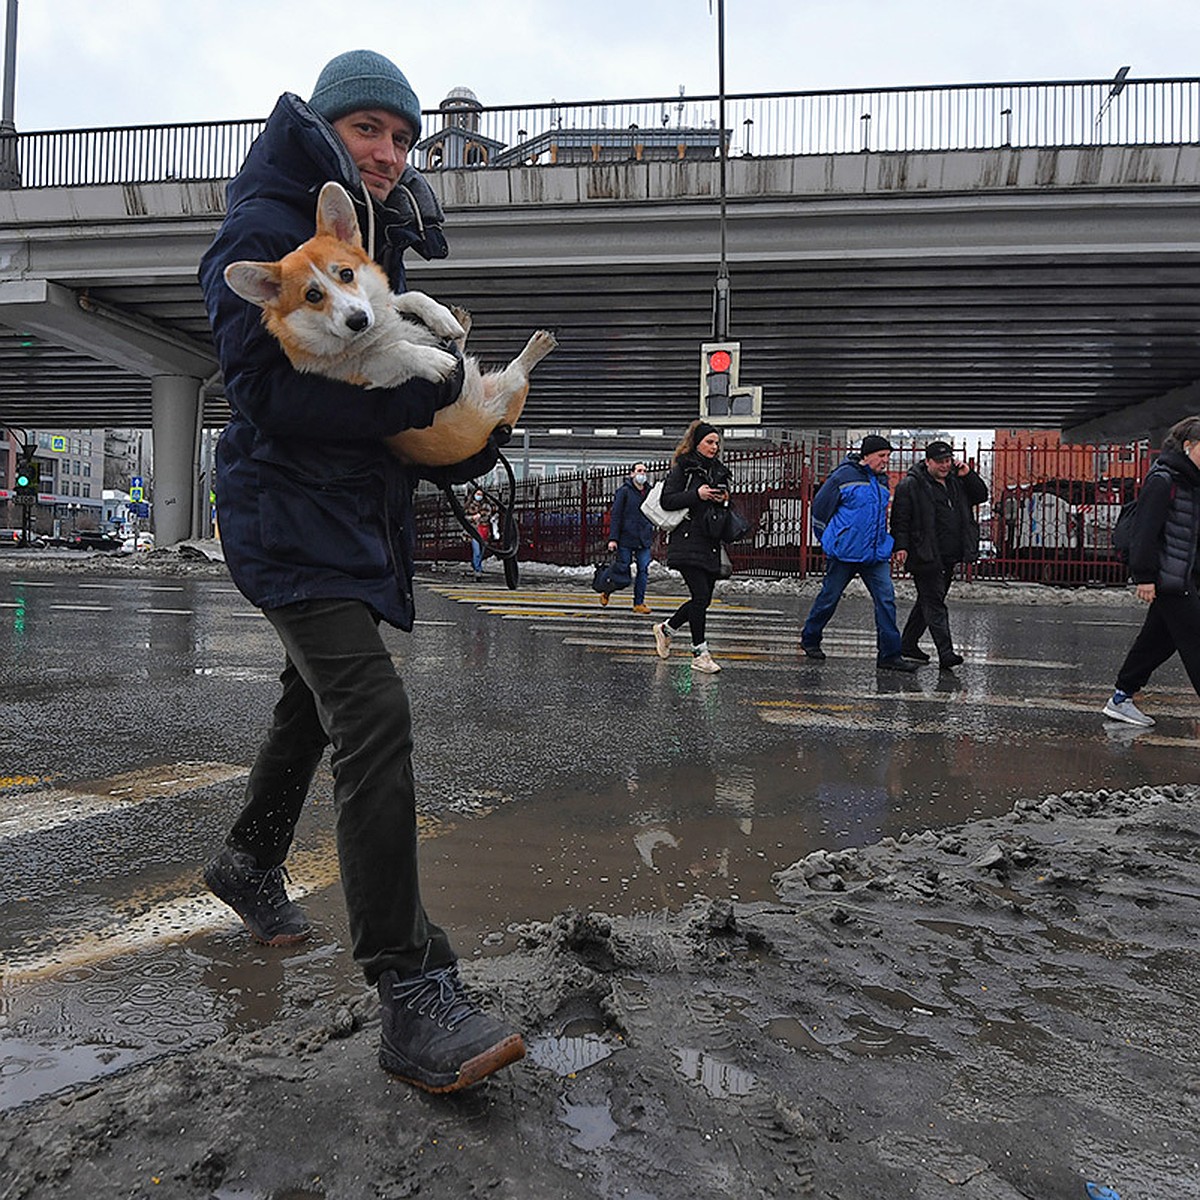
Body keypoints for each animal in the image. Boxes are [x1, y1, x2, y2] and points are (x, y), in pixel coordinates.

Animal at [223, 180, 554, 465]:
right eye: (312, 295)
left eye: (346, 274)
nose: (358, 320)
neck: (374, 332)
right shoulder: (370, 378)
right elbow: (396, 350)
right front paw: (433, 359)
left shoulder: (385, 304)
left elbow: (409, 297)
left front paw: (441, 317)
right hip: (508, 390)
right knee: (518, 371)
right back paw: (538, 345)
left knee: (465, 345)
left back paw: (460, 323)